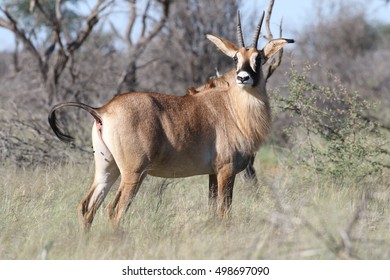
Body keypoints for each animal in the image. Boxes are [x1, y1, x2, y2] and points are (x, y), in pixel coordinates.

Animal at [48, 10, 292, 230]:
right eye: (235, 58)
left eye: (258, 58)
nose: (243, 78)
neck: (232, 107)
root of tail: (102, 110)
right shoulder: (226, 170)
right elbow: (224, 213)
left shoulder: (212, 173)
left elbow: (213, 211)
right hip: (133, 173)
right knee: (114, 211)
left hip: (107, 169)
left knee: (88, 207)